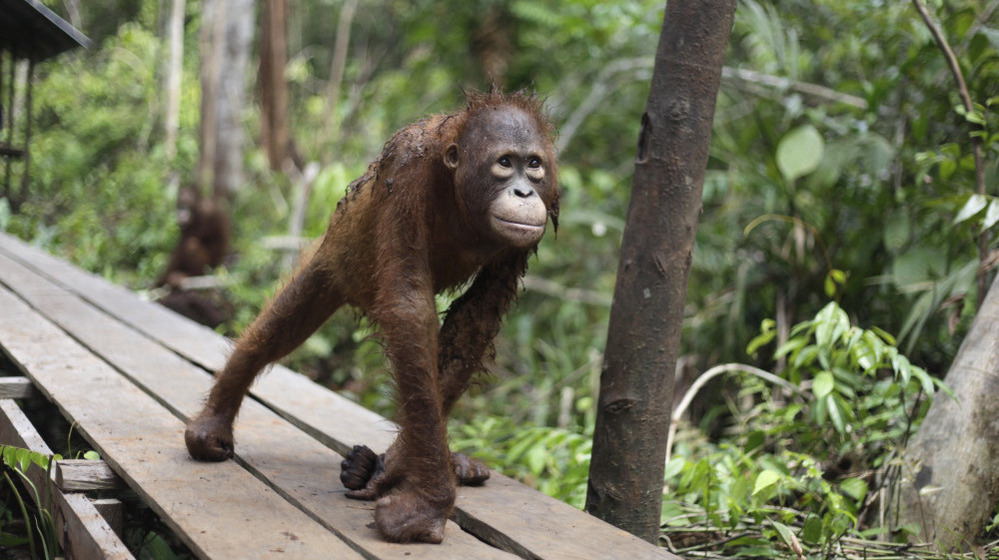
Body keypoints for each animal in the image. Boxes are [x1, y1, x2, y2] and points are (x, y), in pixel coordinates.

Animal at [184, 90, 560, 544]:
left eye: (534, 164)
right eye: (505, 162)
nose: (524, 192)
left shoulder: (544, 208)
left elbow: (475, 318)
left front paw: (391, 471)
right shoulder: (406, 171)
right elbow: (410, 307)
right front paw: (428, 506)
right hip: (331, 258)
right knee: (276, 332)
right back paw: (212, 426)